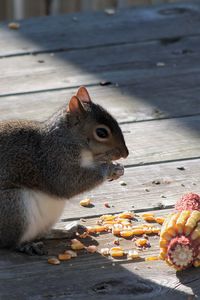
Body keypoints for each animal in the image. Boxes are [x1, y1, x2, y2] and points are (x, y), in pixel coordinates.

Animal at [0, 85, 129, 254]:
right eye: (101, 132)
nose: (126, 153)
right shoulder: (53, 162)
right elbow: (67, 184)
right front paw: (110, 169)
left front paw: (118, 168)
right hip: (13, 207)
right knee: (10, 242)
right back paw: (26, 245)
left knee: (42, 233)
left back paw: (67, 230)